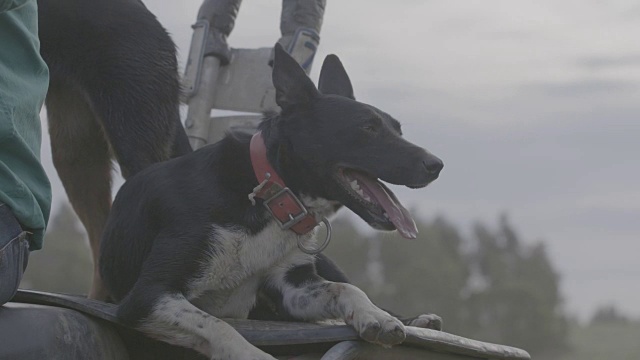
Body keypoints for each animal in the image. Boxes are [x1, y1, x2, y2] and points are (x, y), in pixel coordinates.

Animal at [101, 43, 444, 358]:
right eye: (368, 128)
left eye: (397, 130)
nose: (437, 165)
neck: (270, 196)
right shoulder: (147, 296)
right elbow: (218, 326)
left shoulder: (292, 289)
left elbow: (347, 288)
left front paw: (373, 314)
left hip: (324, 261)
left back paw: (415, 319)